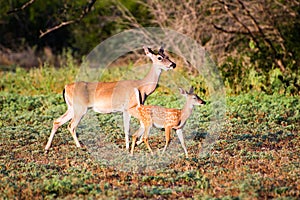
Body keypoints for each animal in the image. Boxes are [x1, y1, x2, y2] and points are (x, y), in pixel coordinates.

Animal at [44, 46, 176, 151]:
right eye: (159, 57)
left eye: (167, 56)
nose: (173, 64)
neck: (142, 87)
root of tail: (66, 87)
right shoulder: (129, 108)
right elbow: (131, 127)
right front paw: (130, 146)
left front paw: (134, 144)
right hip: (80, 108)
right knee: (71, 126)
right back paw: (79, 146)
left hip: (72, 108)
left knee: (57, 121)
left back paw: (47, 147)